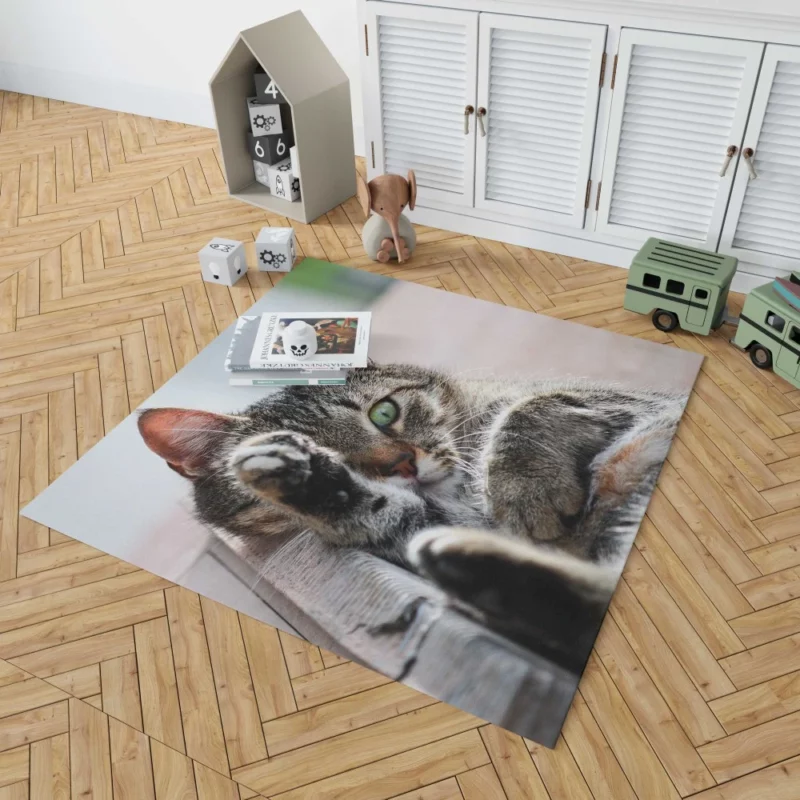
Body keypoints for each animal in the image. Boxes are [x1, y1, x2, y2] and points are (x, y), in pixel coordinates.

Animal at [138, 366, 680, 672]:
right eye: (321, 447)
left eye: (384, 412)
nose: (402, 465)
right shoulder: (431, 519)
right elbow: (383, 513)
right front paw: (301, 477)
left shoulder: (637, 399)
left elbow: (532, 406)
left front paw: (524, 488)